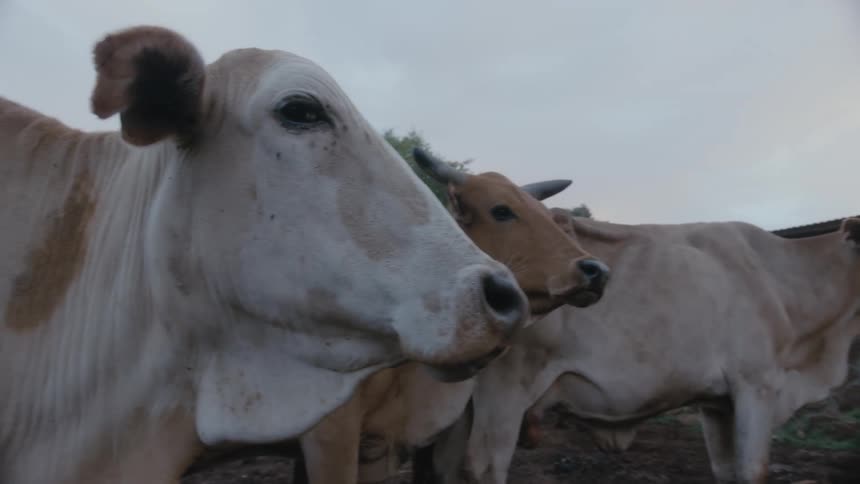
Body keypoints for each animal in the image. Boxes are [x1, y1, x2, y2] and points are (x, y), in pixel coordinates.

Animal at [426, 211, 860, 484]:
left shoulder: (716, 403)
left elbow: (726, 471)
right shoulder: (756, 384)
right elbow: (754, 471)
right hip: (506, 388)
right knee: (486, 466)